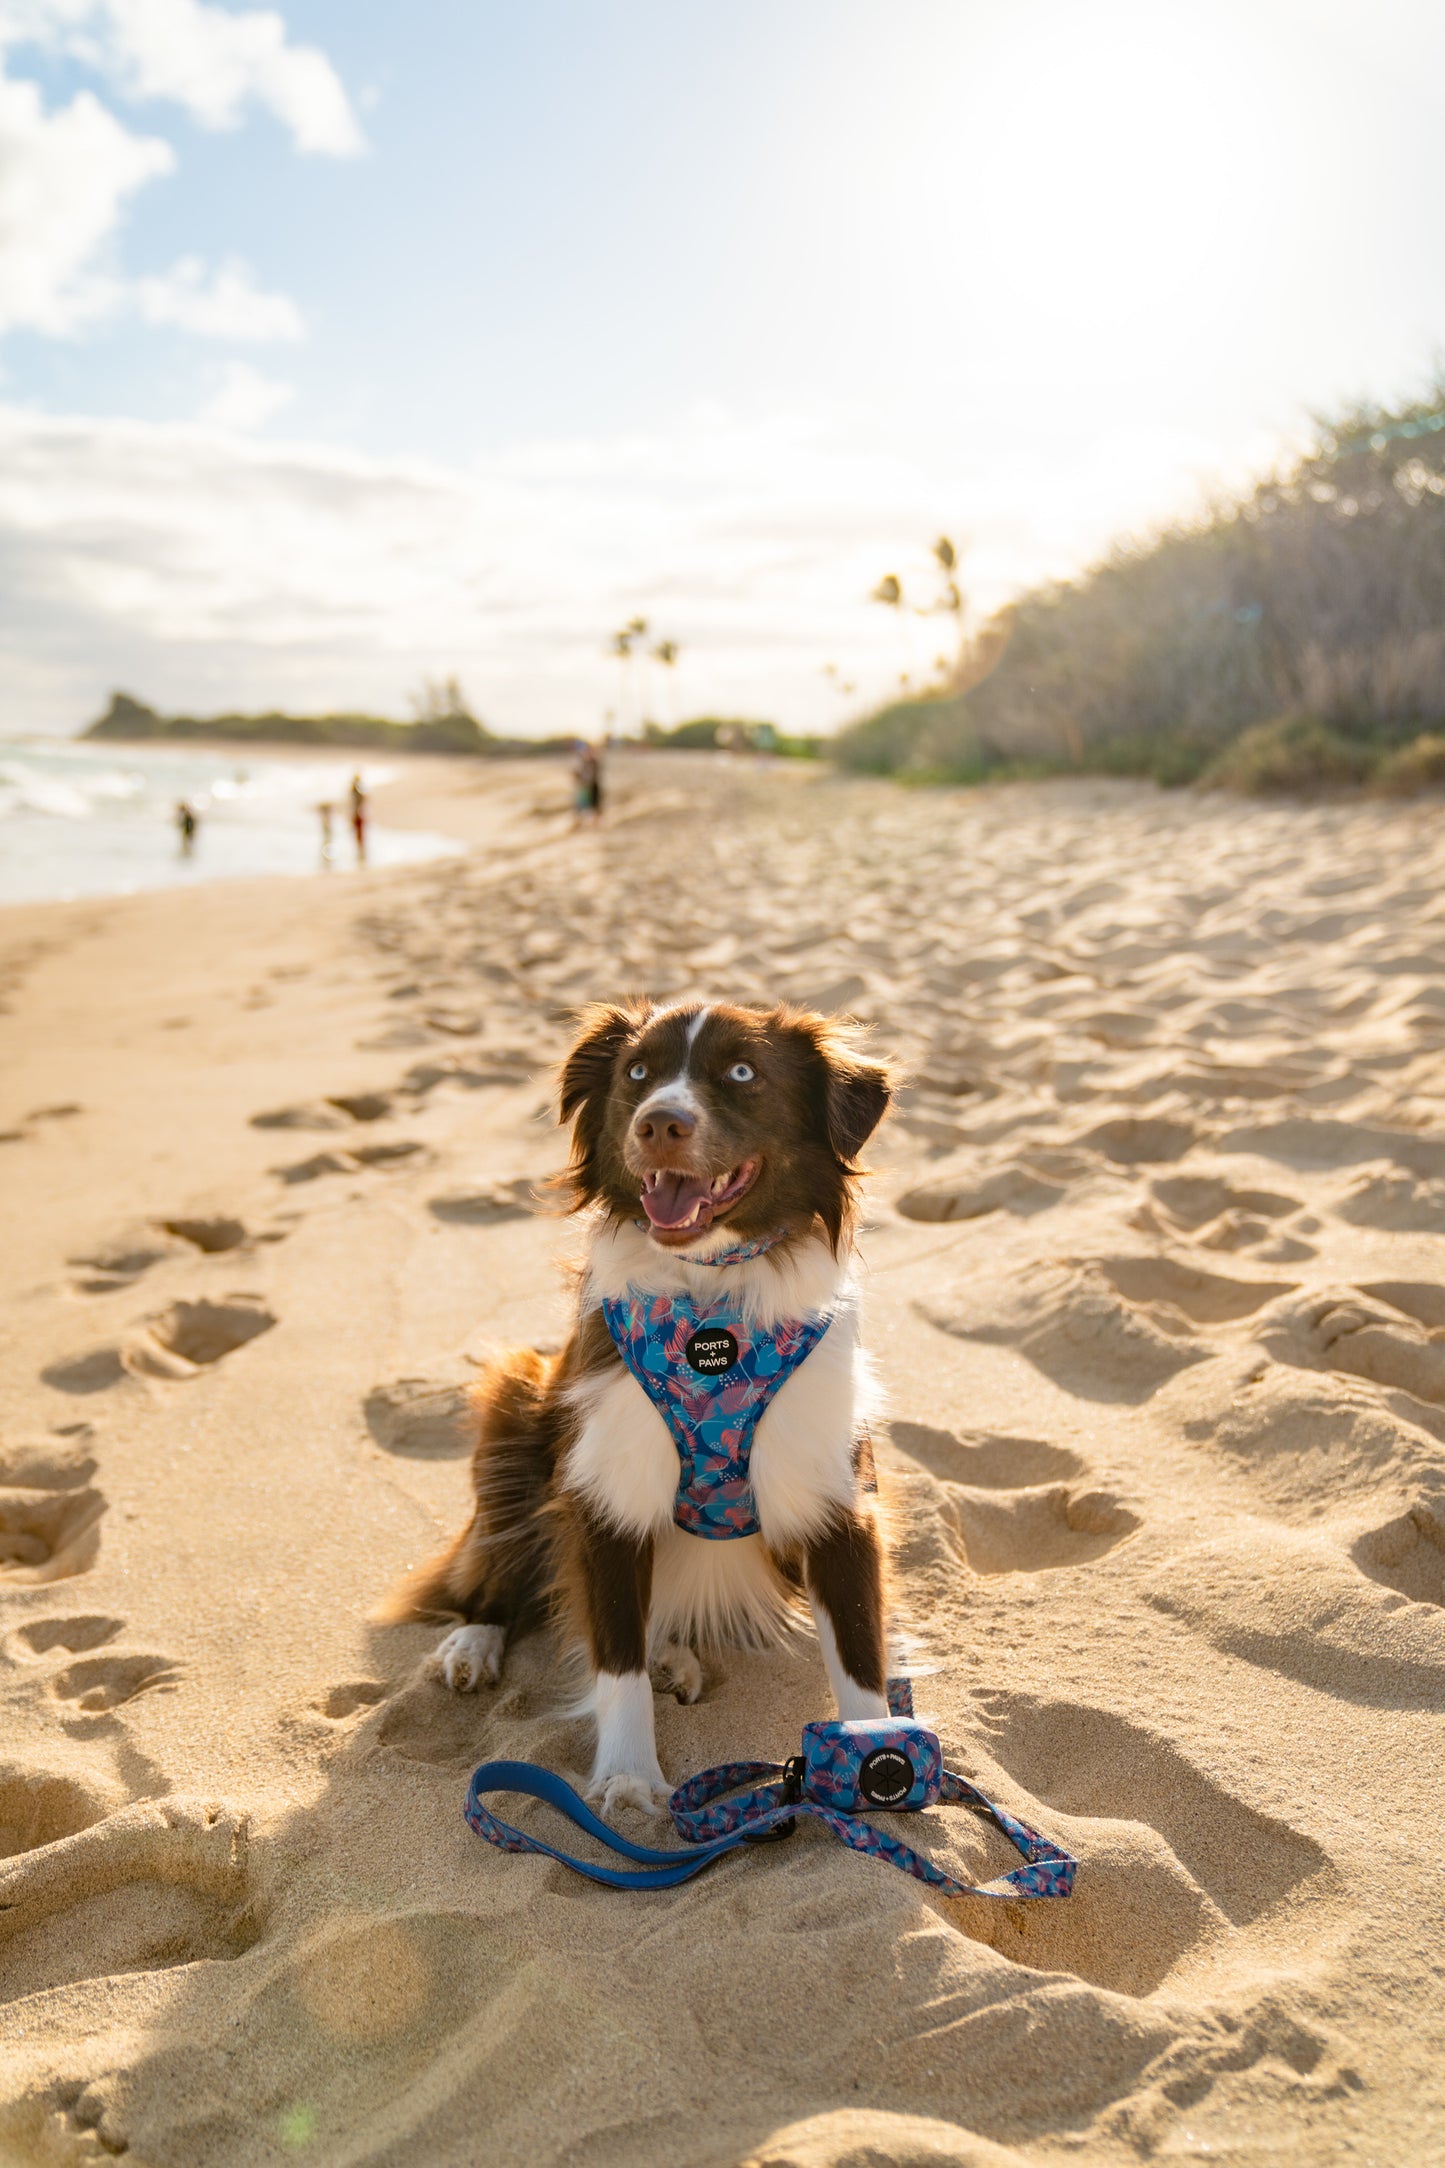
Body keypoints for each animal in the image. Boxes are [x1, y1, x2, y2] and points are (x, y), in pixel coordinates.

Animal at [381, 997, 905, 1812]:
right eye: (636, 1073)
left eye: (742, 1072)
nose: (660, 1122)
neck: (710, 1305)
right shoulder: (606, 1495)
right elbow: (614, 1657)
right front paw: (628, 1780)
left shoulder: (835, 1496)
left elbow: (857, 1657)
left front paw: (877, 1774)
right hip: (514, 1400)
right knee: (495, 1570)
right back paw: (474, 1642)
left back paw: (674, 1657)